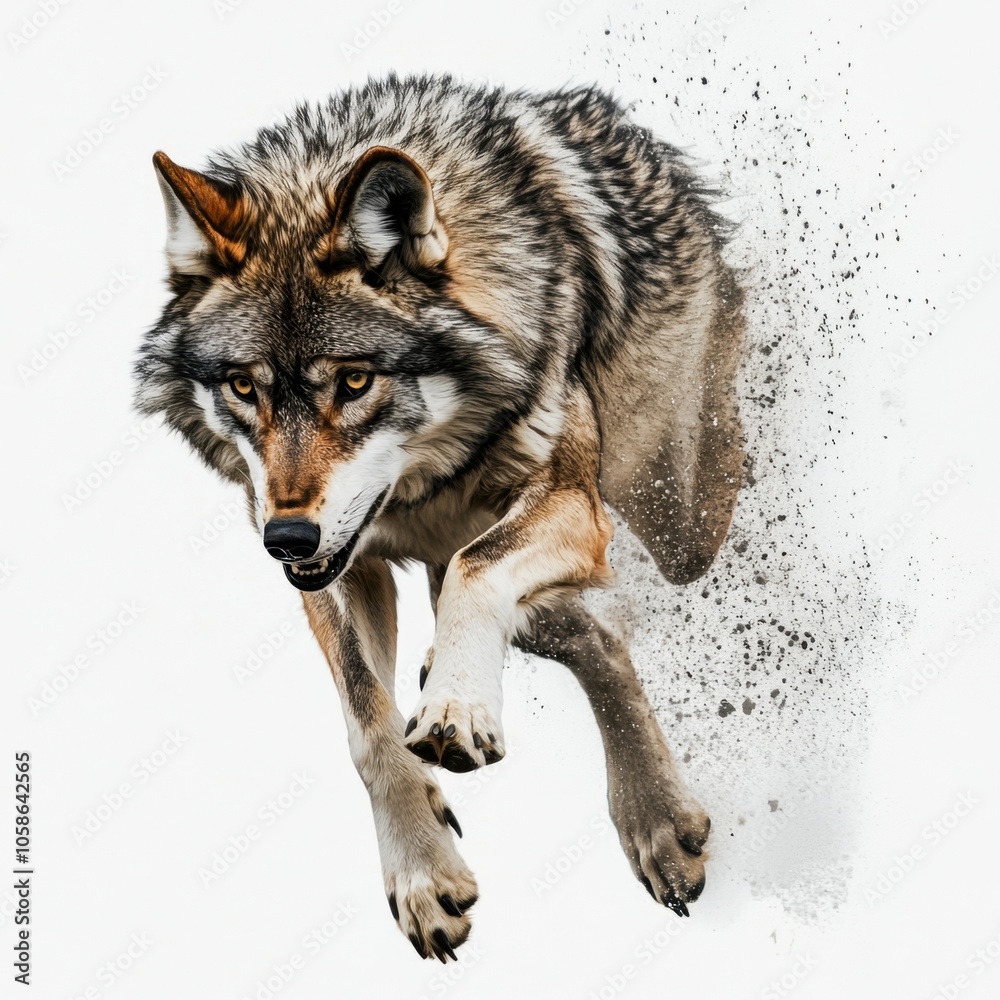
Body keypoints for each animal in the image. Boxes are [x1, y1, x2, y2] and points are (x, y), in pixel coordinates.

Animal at [135, 74, 744, 961]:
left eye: (355, 381)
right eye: (244, 387)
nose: (286, 540)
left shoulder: (567, 501)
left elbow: (478, 571)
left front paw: (458, 711)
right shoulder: (340, 566)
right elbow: (368, 721)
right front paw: (422, 875)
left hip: (673, 516)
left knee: (605, 605)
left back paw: (652, 816)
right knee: (577, 629)